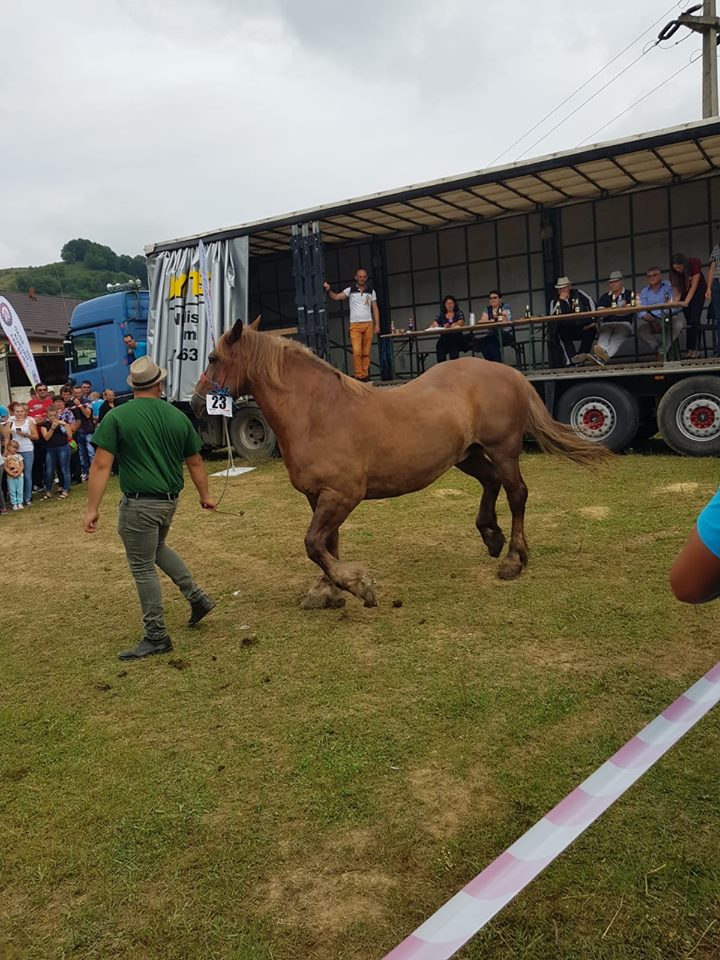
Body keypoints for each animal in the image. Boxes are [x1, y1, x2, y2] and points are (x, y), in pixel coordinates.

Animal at [192, 318, 612, 608]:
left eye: (213, 358)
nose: (195, 404)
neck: (317, 412)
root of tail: (510, 373)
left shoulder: (342, 496)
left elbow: (313, 544)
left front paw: (357, 585)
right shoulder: (319, 497)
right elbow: (328, 543)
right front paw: (327, 589)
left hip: (504, 450)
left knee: (517, 494)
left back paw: (513, 559)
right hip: (467, 455)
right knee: (491, 483)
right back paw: (491, 536)